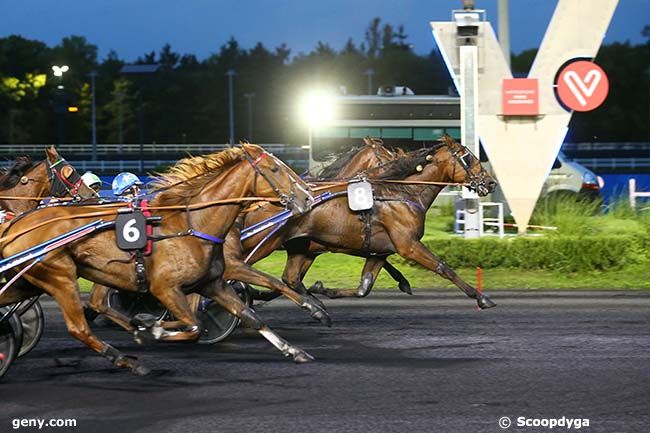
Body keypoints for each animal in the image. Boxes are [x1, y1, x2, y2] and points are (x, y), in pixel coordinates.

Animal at [0, 143, 316, 372]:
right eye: (275, 169)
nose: (307, 198)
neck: (192, 222)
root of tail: (17, 226)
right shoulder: (165, 287)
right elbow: (194, 325)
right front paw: (151, 328)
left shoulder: (212, 283)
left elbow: (250, 315)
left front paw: (295, 350)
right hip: (59, 276)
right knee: (79, 327)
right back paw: (126, 359)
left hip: (32, 280)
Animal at [223, 135, 496, 308]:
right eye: (468, 158)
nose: (491, 182)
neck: (402, 192)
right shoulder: (407, 244)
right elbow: (443, 267)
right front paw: (481, 297)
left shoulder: (376, 250)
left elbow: (363, 287)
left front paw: (321, 290)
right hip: (263, 242)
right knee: (234, 267)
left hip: (296, 245)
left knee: (285, 278)